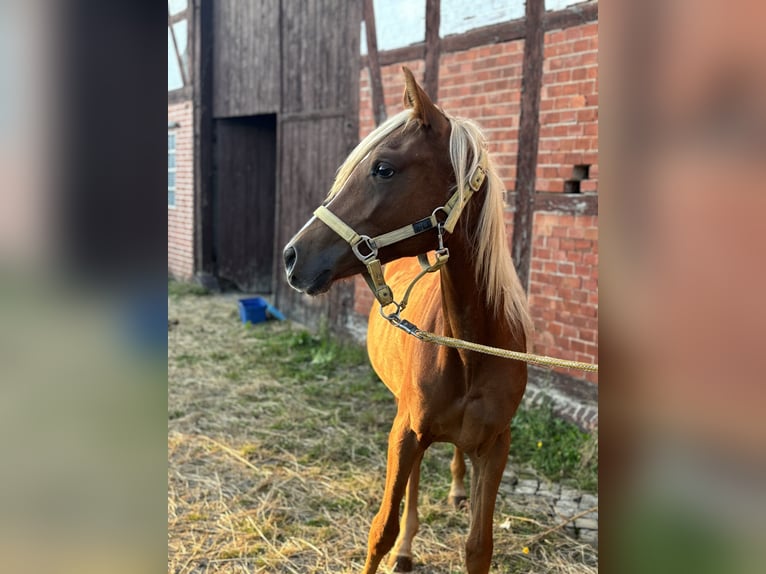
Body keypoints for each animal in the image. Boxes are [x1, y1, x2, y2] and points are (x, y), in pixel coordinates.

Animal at [284, 68, 536, 574]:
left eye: (383, 168)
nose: (292, 255)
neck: (472, 348)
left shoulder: (496, 447)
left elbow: (478, 547)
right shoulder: (404, 433)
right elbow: (382, 529)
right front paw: (397, 546)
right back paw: (407, 548)